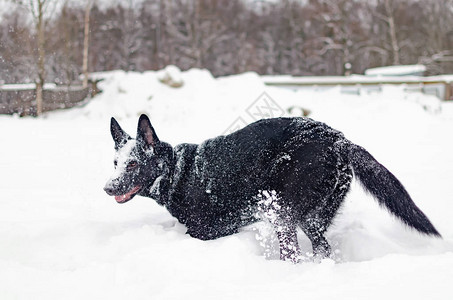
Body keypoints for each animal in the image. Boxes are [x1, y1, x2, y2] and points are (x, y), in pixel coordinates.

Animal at [105, 115, 438, 262]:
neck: (178, 172)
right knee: (323, 248)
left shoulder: (206, 232)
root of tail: (339, 140)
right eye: (115, 162)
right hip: (311, 218)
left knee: (294, 252)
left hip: (281, 212)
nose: (108, 188)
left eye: (132, 165)